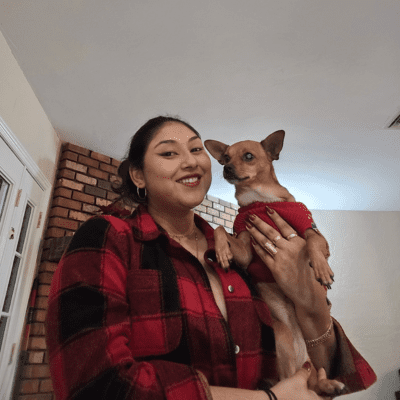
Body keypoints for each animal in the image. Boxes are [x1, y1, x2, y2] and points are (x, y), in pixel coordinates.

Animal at [204, 131, 344, 396]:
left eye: (248, 156)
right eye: (225, 157)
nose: (226, 168)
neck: (259, 200)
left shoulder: (311, 229)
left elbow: (311, 241)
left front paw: (322, 269)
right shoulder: (245, 245)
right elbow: (220, 229)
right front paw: (221, 251)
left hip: (306, 351)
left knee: (313, 376)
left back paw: (329, 383)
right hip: (282, 339)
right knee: (293, 378)